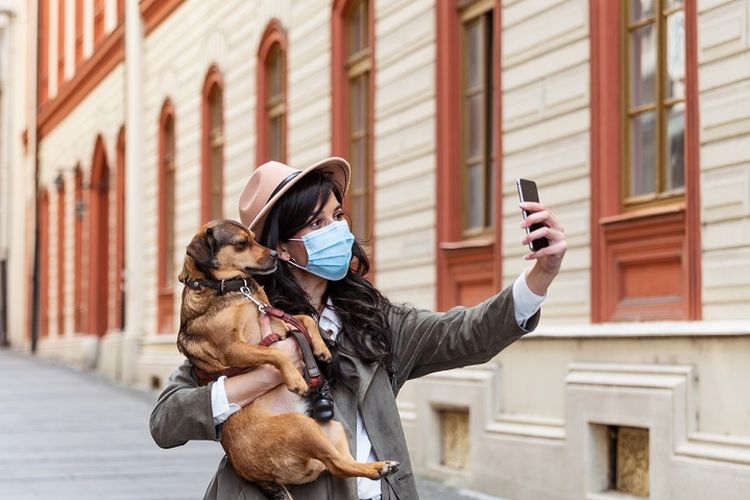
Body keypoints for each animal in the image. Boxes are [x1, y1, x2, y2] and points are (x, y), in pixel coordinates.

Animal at [178, 221, 400, 498]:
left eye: (255, 239)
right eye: (242, 243)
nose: (275, 254)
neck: (235, 289)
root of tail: (262, 478)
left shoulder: (278, 319)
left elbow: (304, 319)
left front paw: (321, 347)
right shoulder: (233, 348)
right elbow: (276, 352)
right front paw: (295, 379)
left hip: (331, 429)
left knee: (339, 463)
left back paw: (379, 466)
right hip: (301, 426)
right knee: (337, 465)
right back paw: (378, 468)